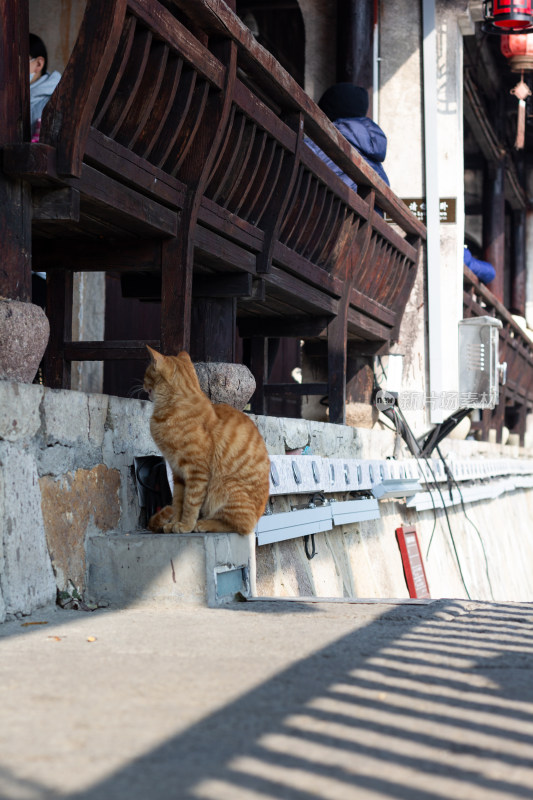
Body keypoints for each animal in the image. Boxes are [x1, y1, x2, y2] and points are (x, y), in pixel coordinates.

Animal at [143, 346, 268, 536]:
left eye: (146, 373)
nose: (142, 385)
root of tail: (259, 518)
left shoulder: (197, 471)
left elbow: (190, 503)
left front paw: (186, 525)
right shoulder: (177, 472)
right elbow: (178, 502)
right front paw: (175, 523)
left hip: (225, 489)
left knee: (240, 526)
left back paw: (203, 524)